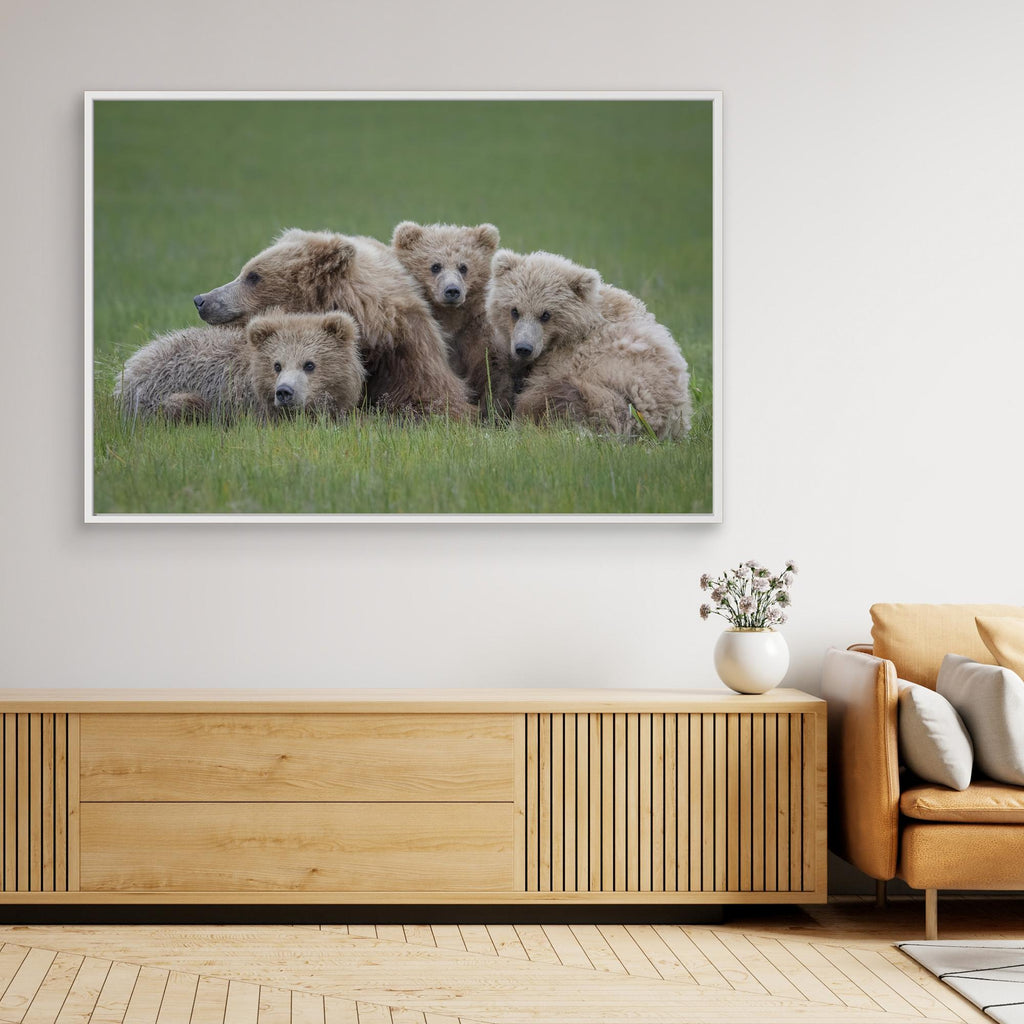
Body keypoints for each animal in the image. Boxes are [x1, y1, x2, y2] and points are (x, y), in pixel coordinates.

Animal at [390, 221, 514, 418]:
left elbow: (491, 368)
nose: (452, 290)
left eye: (463, 267)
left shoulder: (474, 330)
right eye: (435, 266)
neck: (450, 318)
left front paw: (492, 409)